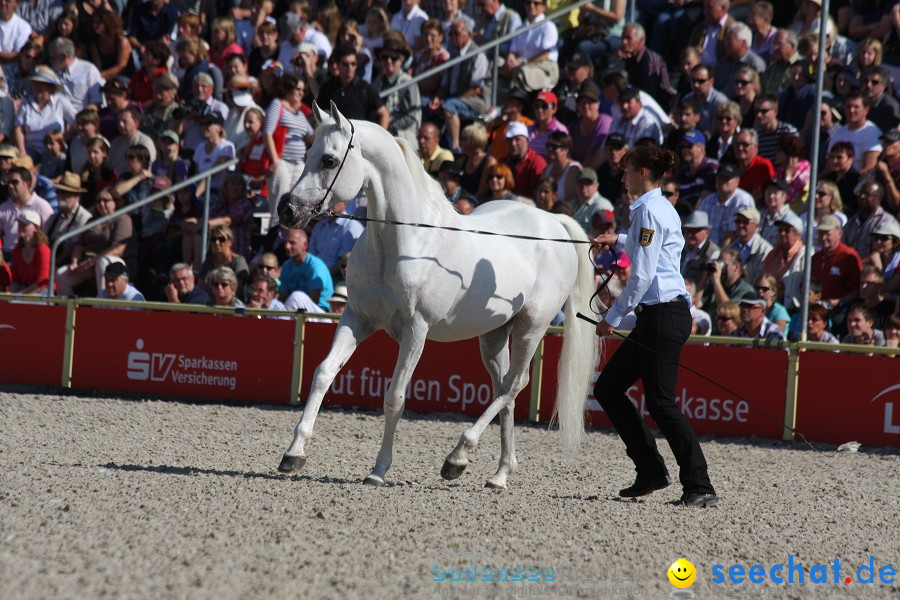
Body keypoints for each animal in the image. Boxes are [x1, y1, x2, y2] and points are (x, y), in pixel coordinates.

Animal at [274, 103, 596, 488]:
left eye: (329, 160)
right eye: (307, 154)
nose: (287, 211)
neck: (405, 244)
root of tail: (553, 222)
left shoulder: (416, 331)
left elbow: (395, 397)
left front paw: (378, 471)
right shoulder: (357, 319)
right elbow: (323, 373)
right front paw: (293, 453)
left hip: (531, 328)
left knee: (514, 385)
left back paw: (458, 456)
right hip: (494, 336)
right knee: (505, 390)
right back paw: (499, 473)